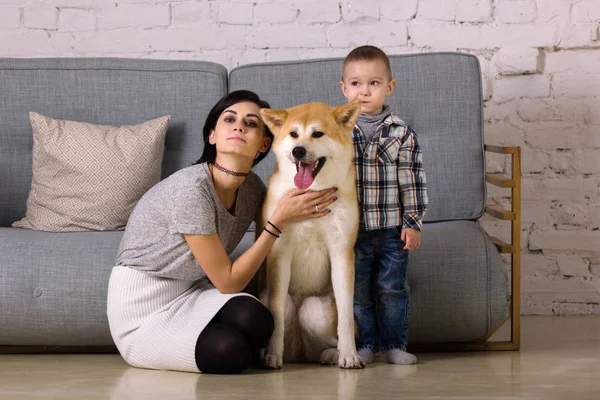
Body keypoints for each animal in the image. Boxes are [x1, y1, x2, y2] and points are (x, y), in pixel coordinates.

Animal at [256, 99, 360, 368]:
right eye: (293, 134)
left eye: (317, 134)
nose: (298, 151)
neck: (311, 194)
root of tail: (300, 352)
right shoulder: (279, 254)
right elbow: (277, 311)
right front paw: (272, 354)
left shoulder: (341, 251)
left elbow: (346, 314)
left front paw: (349, 354)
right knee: (285, 310)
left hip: (316, 310)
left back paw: (332, 354)